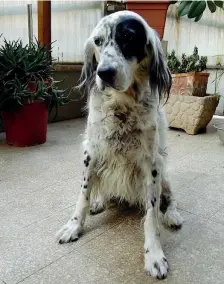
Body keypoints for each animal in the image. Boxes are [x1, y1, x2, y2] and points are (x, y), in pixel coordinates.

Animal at [57, 10, 183, 280]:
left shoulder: (152, 163)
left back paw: (173, 215)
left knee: (169, 198)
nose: (104, 73)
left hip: (164, 172)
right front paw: (74, 226)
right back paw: (99, 203)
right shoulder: (91, 153)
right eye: (98, 41)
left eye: (128, 37)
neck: (122, 106)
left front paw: (154, 255)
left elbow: (151, 215)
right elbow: (82, 195)